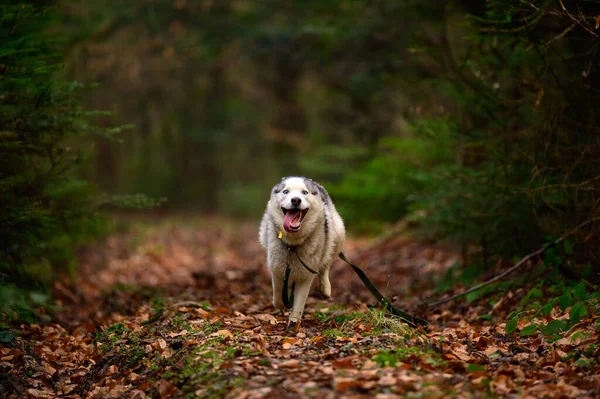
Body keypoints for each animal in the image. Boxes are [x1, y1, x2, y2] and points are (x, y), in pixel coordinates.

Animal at [258, 177, 346, 326]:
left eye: (304, 192)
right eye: (285, 191)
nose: (296, 200)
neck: (293, 245)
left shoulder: (306, 274)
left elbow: (299, 303)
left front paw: (293, 323)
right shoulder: (277, 269)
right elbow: (278, 297)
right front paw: (283, 305)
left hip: (337, 235)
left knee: (326, 262)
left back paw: (325, 288)